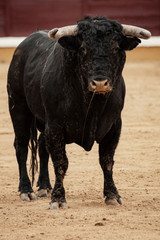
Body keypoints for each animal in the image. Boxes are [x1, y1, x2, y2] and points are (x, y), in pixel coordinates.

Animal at [6, 16, 149, 208]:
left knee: (42, 146)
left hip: (43, 121)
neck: (92, 103)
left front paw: (112, 195)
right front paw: (58, 199)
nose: (100, 83)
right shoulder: (56, 125)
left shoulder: (114, 126)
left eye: (115, 48)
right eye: (83, 49)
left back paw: (44, 187)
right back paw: (26, 190)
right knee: (21, 146)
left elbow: (107, 161)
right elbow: (60, 162)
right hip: (18, 107)